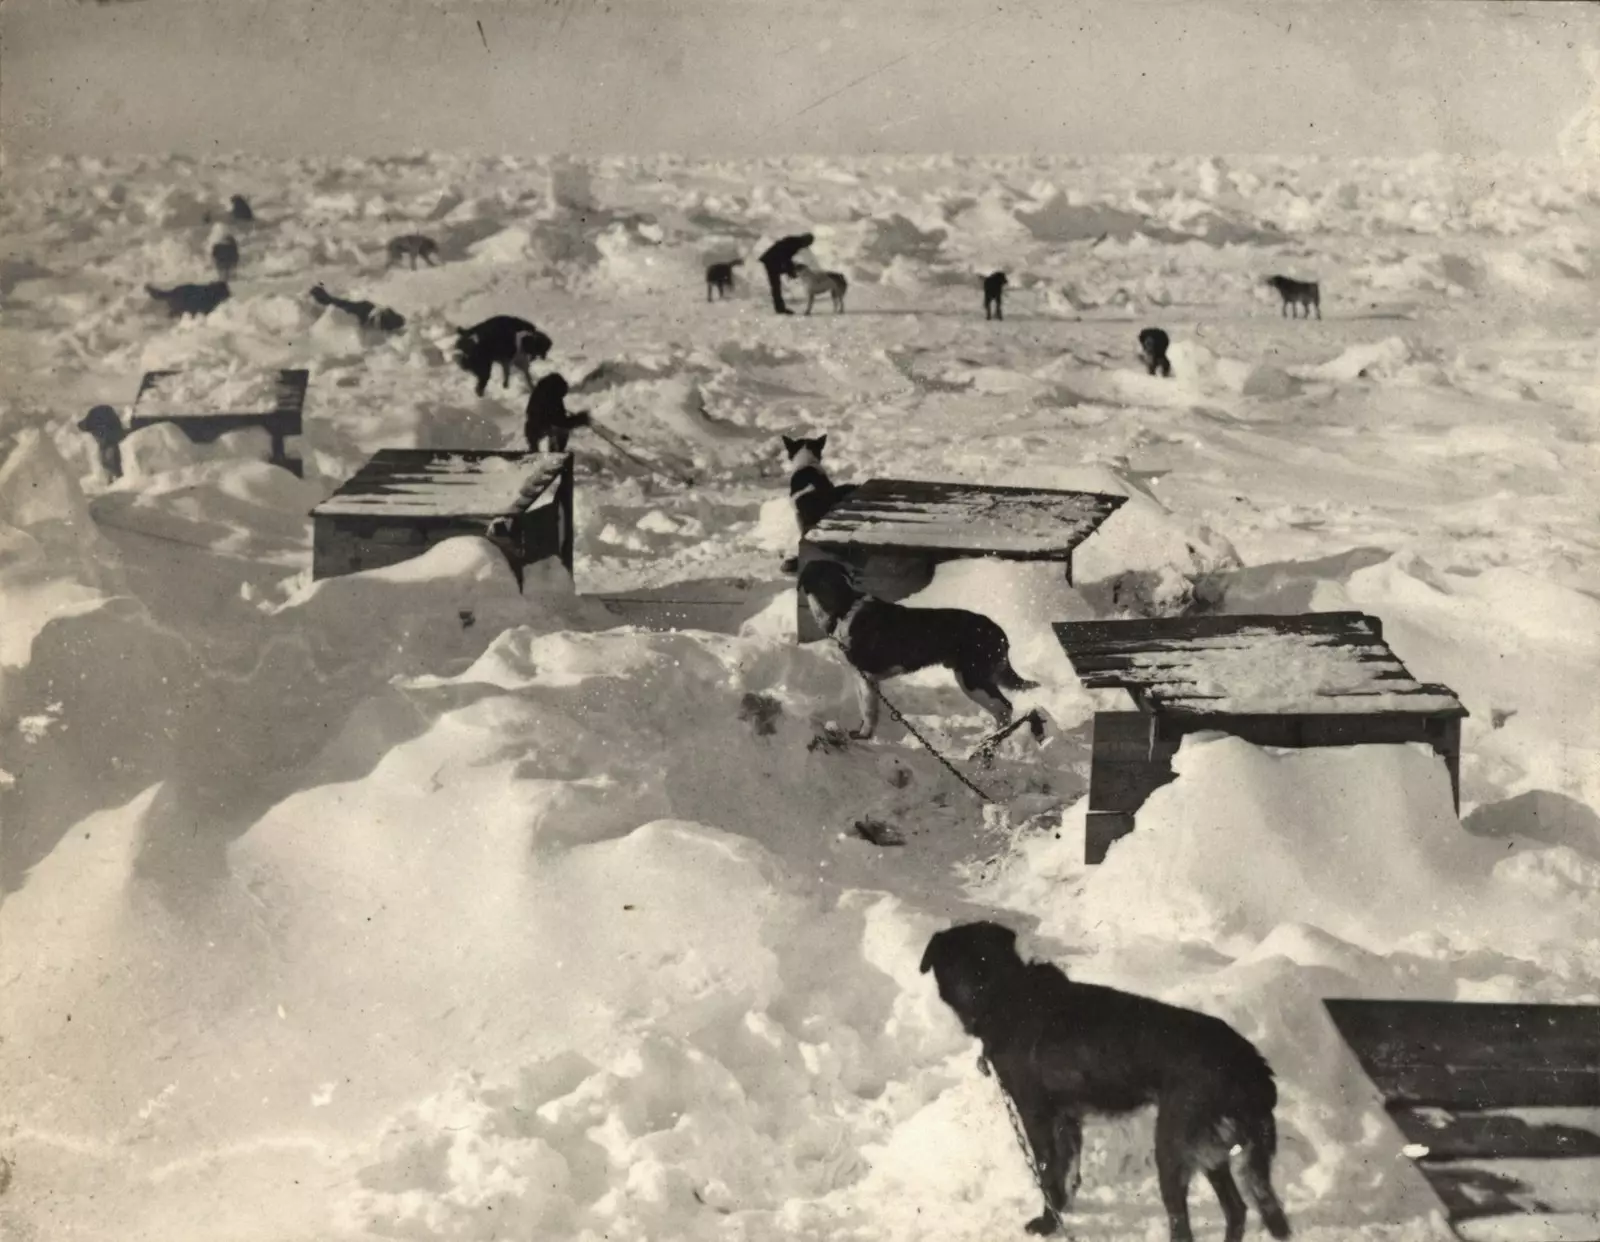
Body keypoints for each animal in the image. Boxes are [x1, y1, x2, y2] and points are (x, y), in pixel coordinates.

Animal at [796, 560, 1036, 742]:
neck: (843, 606)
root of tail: (998, 631)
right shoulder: (862, 678)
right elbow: (867, 710)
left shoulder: (866, 677)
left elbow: (868, 711)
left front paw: (863, 736)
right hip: (972, 678)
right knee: (1002, 709)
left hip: (973, 679)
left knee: (1005, 707)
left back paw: (991, 742)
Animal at [921, 921, 1292, 1242]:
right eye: (957, 965)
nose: (974, 993)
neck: (1004, 992)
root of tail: (1251, 1064)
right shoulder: (1068, 1120)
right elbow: (1067, 1174)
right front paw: (1061, 1212)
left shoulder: (1036, 1116)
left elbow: (1048, 1174)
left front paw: (1047, 1223)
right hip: (1212, 1151)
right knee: (1237, 1210)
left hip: (1173, 1147)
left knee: (1184, 1225)